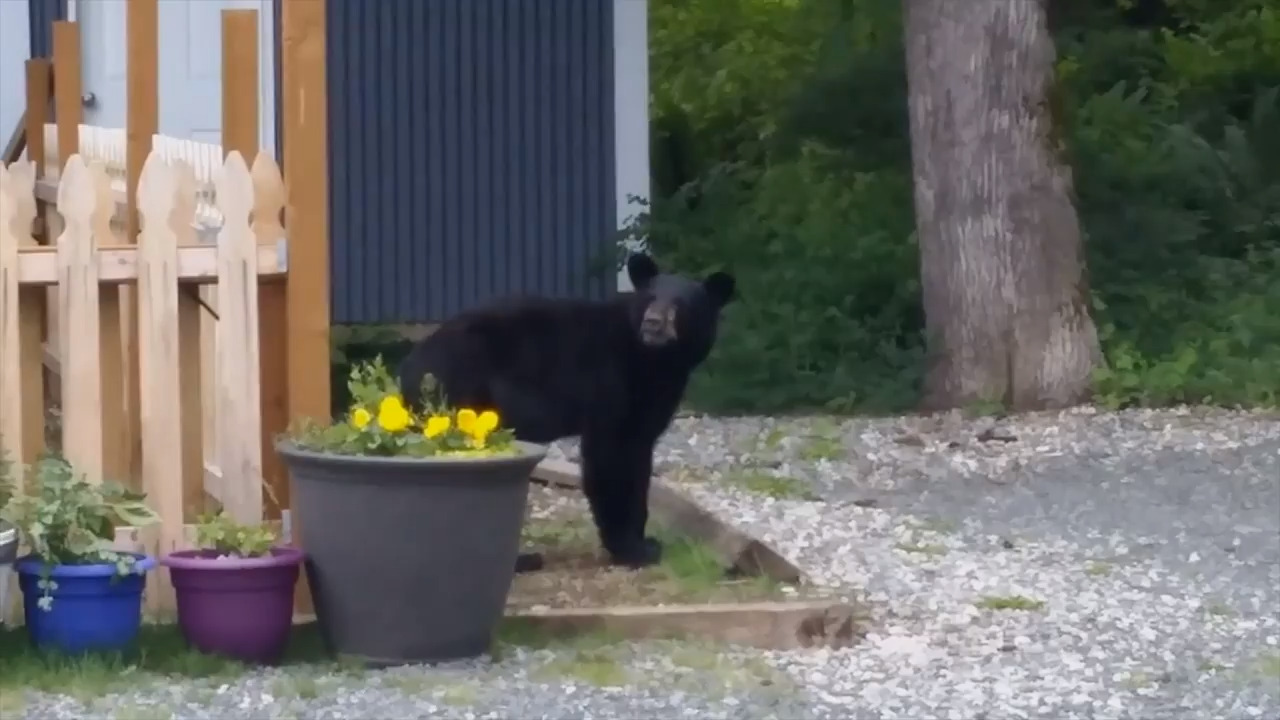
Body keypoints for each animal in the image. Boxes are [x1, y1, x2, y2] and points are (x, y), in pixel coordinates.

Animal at [397, 252, 737, 570]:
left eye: (681, 304)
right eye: (650, 298)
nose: (653, 323)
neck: (655, 361)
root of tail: (412, 364)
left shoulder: (651, 402)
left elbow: (639, 459)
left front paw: (646, 540)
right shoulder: (610, 382)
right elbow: (610, 456)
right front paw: (631, 549)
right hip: (460, 394)